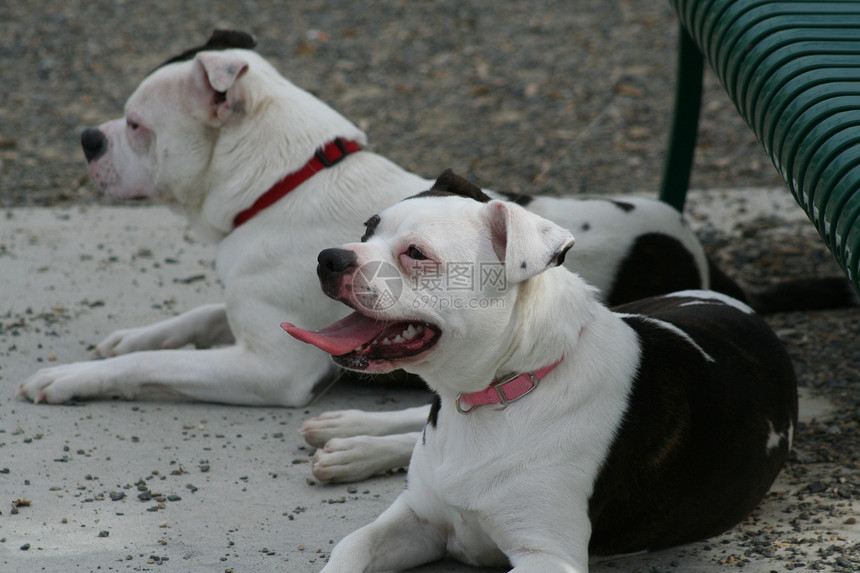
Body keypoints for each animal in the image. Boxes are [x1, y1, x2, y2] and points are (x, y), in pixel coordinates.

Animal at [286, 172, 796, 568]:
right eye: (366, 230)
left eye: (417, 253)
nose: (329, 258)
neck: (502, 389)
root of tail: (739, 305)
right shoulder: (417, 519)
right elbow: (351, 547)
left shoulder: (547, 555)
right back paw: (348, 436)